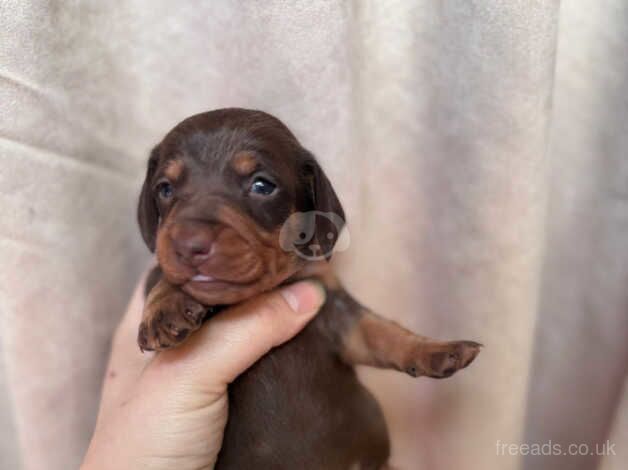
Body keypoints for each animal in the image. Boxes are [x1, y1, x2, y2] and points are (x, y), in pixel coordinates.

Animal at [137, 107, 480, 470]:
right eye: (164, 189)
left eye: (262, 185)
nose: (189, 246)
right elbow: (162, 278)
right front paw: (167, 307)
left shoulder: (338, 314)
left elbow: (382, 332)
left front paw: (436, 350)